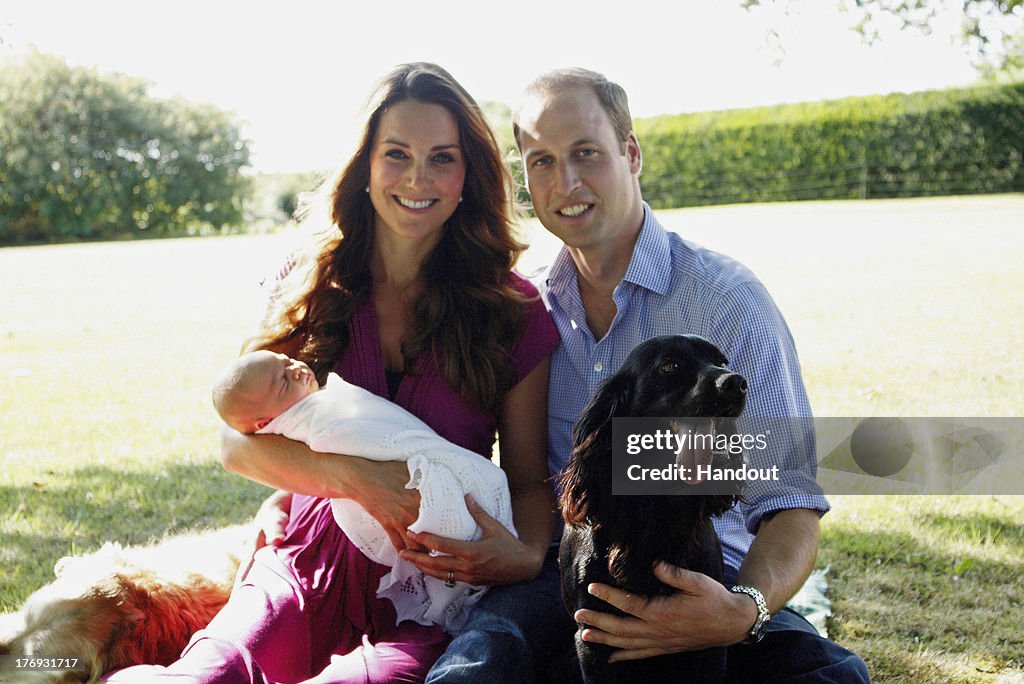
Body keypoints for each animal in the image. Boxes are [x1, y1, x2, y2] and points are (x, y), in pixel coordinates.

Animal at [561, 335, 745, 684]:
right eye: (670, 365)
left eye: (723, 362)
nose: (737, 383)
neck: (658, 505)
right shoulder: (590, 637)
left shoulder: (710, 633)